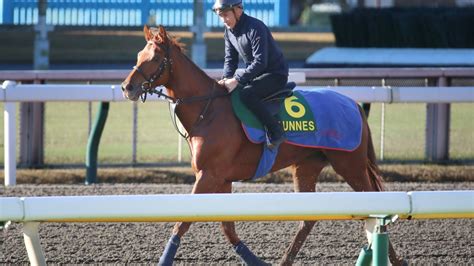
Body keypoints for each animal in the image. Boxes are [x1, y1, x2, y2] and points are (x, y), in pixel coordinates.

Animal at [121, 25, 404, 266]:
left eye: (154, 58)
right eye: (139, 55)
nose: (126, 87)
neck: (208, 110)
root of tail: (353, 104)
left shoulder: (209, 175)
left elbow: (183, 222)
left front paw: (163, 260)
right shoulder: (221, 179)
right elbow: (227, 228)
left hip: (350, 165)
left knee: (376, 207)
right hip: (306, 167)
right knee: (309, 218)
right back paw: (286, 260)